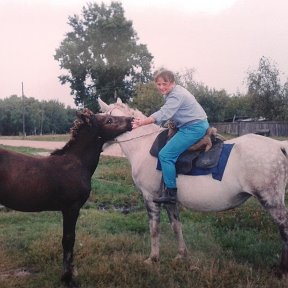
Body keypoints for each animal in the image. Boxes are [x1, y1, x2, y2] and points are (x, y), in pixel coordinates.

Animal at [0, 109, 133, 286]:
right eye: (109, 120)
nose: (131, 119)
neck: (77, 163)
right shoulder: (71, 207)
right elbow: (69, 239)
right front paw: (67, 277)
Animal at [98, 97, 288, 274]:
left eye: (107, 119)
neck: (143, 146)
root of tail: (278, 145)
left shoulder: (150, 197)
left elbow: (154, 228)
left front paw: (153, 258)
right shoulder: (169, 200)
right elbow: (176, 226)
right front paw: (181, 255)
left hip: (271, 200)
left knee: (284, 228)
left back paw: (281, 270)